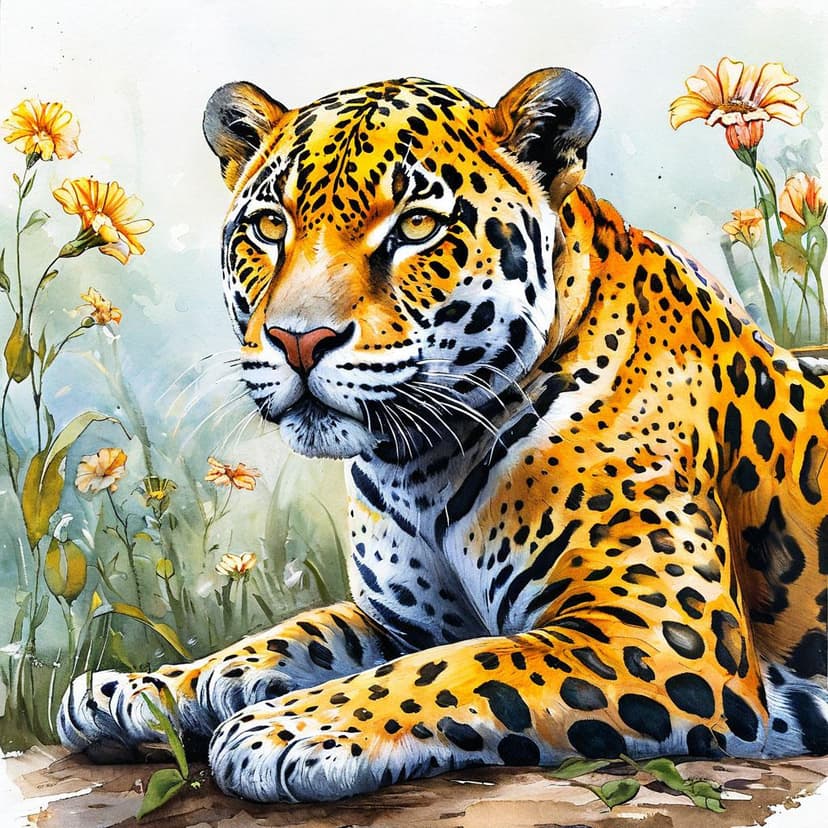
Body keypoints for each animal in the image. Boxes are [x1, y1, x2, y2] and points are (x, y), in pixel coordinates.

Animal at [58, 68, 828, 803]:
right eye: (271, 227)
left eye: (418, 226)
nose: (299, 340)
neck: (420, 463)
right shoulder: (402, 620)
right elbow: (293, 635)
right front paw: (141, 689)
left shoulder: (663, 634)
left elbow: (459, 666)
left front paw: (283, 729)